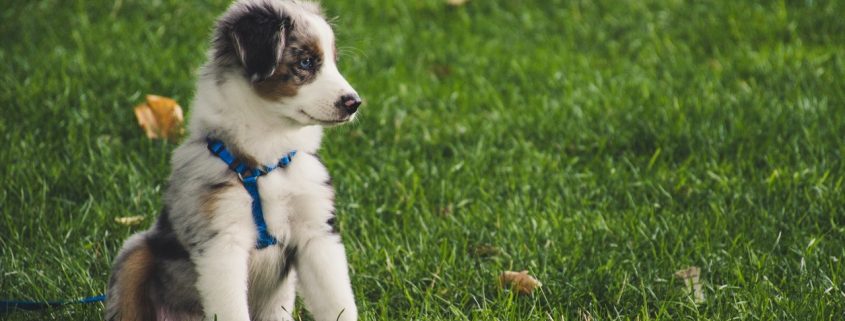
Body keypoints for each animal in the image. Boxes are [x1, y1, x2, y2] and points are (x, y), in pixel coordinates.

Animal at [104, 1, 360, 318]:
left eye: (334, 62)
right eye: (306, 62)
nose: (354, 103)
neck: (266, 160)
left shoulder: (317, 232)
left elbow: (338, 302)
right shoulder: (222, 242)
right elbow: (232, 309)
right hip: (136, 251)